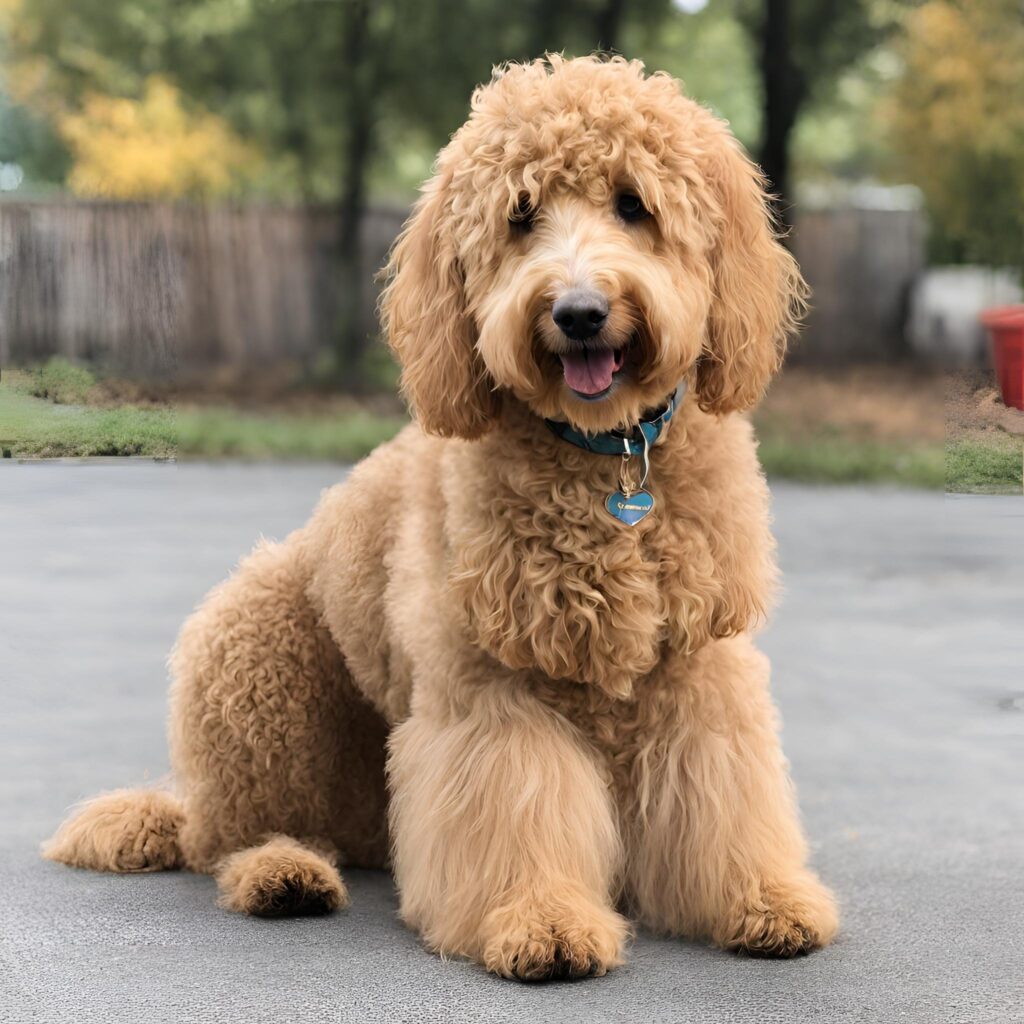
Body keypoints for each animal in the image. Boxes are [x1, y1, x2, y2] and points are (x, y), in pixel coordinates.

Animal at [44, 58, 835, 983]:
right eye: (520, 216)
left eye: (634, 204)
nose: (577, 312)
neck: (606, 460)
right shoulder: (490, 693)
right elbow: (516, 806)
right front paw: (540, 919)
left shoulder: (697, 671)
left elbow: (723, 799)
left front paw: (761, 899)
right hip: (260, 675)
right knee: (230, 839)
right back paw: (282, 875)